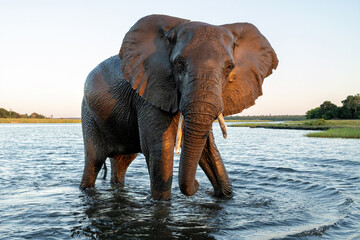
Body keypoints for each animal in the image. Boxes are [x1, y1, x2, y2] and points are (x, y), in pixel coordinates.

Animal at [81, 14, 278, 200]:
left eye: (229, 67)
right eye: (178, 64)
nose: (198, 185)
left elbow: (207, 148)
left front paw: (225, 196)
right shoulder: (149, 90)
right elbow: (160, 149)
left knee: (122, 162)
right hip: (88, 113)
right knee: (94, 160)